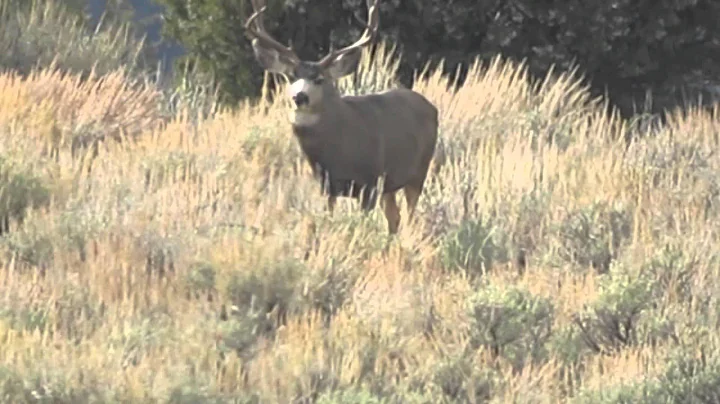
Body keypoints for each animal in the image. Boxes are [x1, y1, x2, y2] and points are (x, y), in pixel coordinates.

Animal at [243, 0, 438, 234]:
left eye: (319, 79)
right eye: (291, 76)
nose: (299, 96)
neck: (338, 150)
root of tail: (432, 107)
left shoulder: (370, 182)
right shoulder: (328, 186)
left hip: (419, 170)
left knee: (410, 214)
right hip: (390, 183)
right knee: (395, 217)